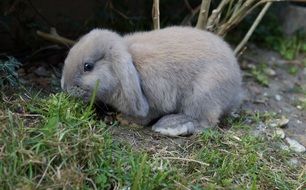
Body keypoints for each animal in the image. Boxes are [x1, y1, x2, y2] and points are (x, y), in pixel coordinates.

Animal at [61, 26, 244, 137]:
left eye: (88, 66)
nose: (65, 87)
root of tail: (236, 92)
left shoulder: (156, 100)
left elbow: (148, 114)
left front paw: (127, 120)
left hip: (203, 95)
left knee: (206, 121)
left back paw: (171, 125)